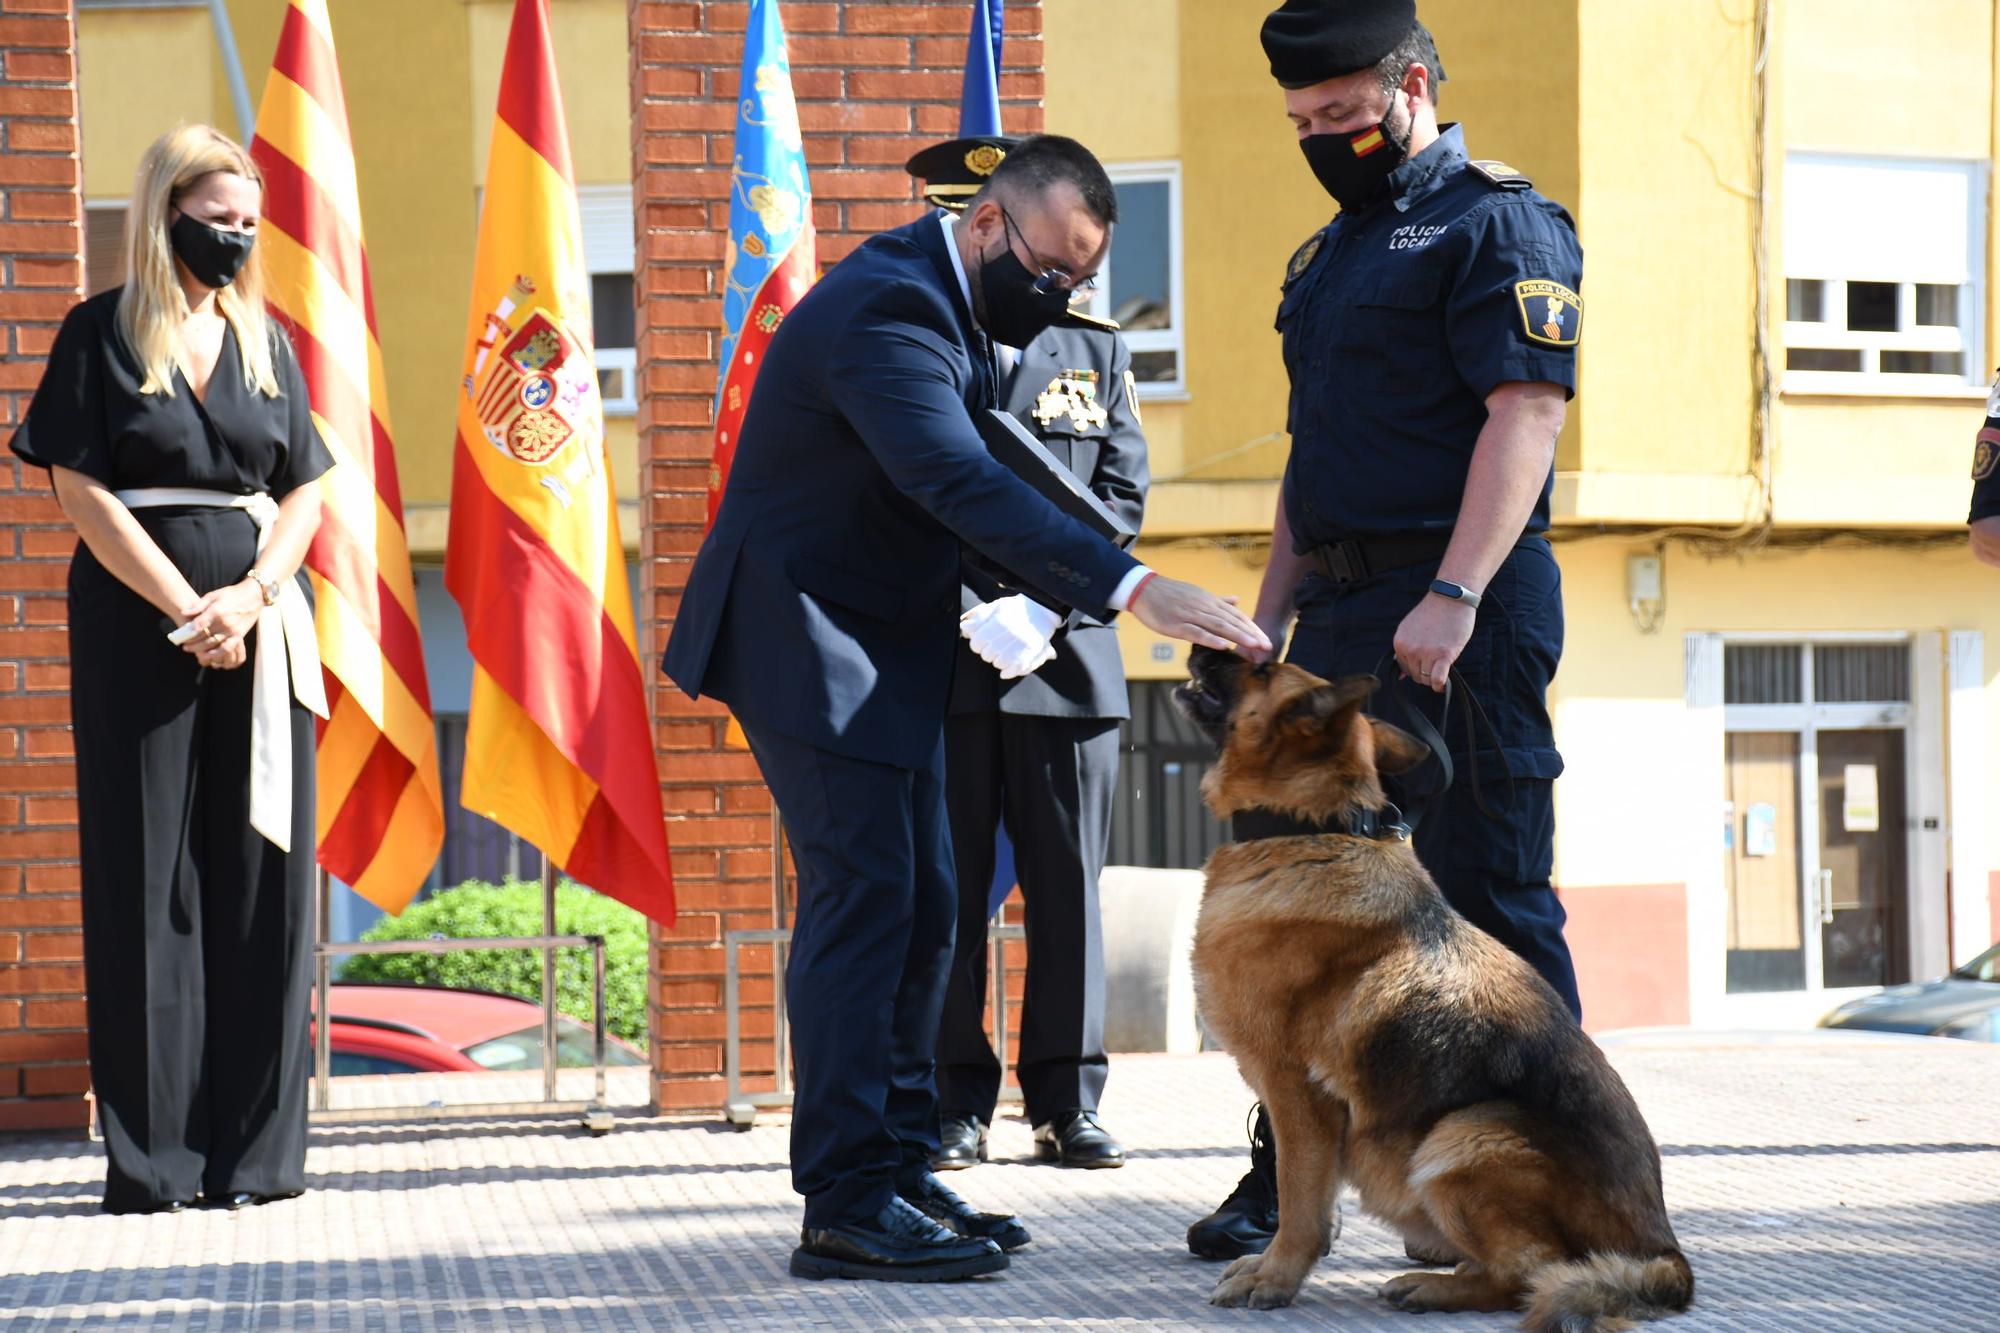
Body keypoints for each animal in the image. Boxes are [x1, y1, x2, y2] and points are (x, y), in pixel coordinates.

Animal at [1176, 640, 1696, 1320]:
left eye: (1262, 669)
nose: (1202, 644)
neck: (1310, 827)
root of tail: (1663, 1253)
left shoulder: (1296, 1095)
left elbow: (1299, 1202)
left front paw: (1277, 1276)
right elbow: (1312, 1201)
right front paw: (1272, 1266)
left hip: (1464, 1135)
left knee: (1526, 1274)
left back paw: (1434, 1286)